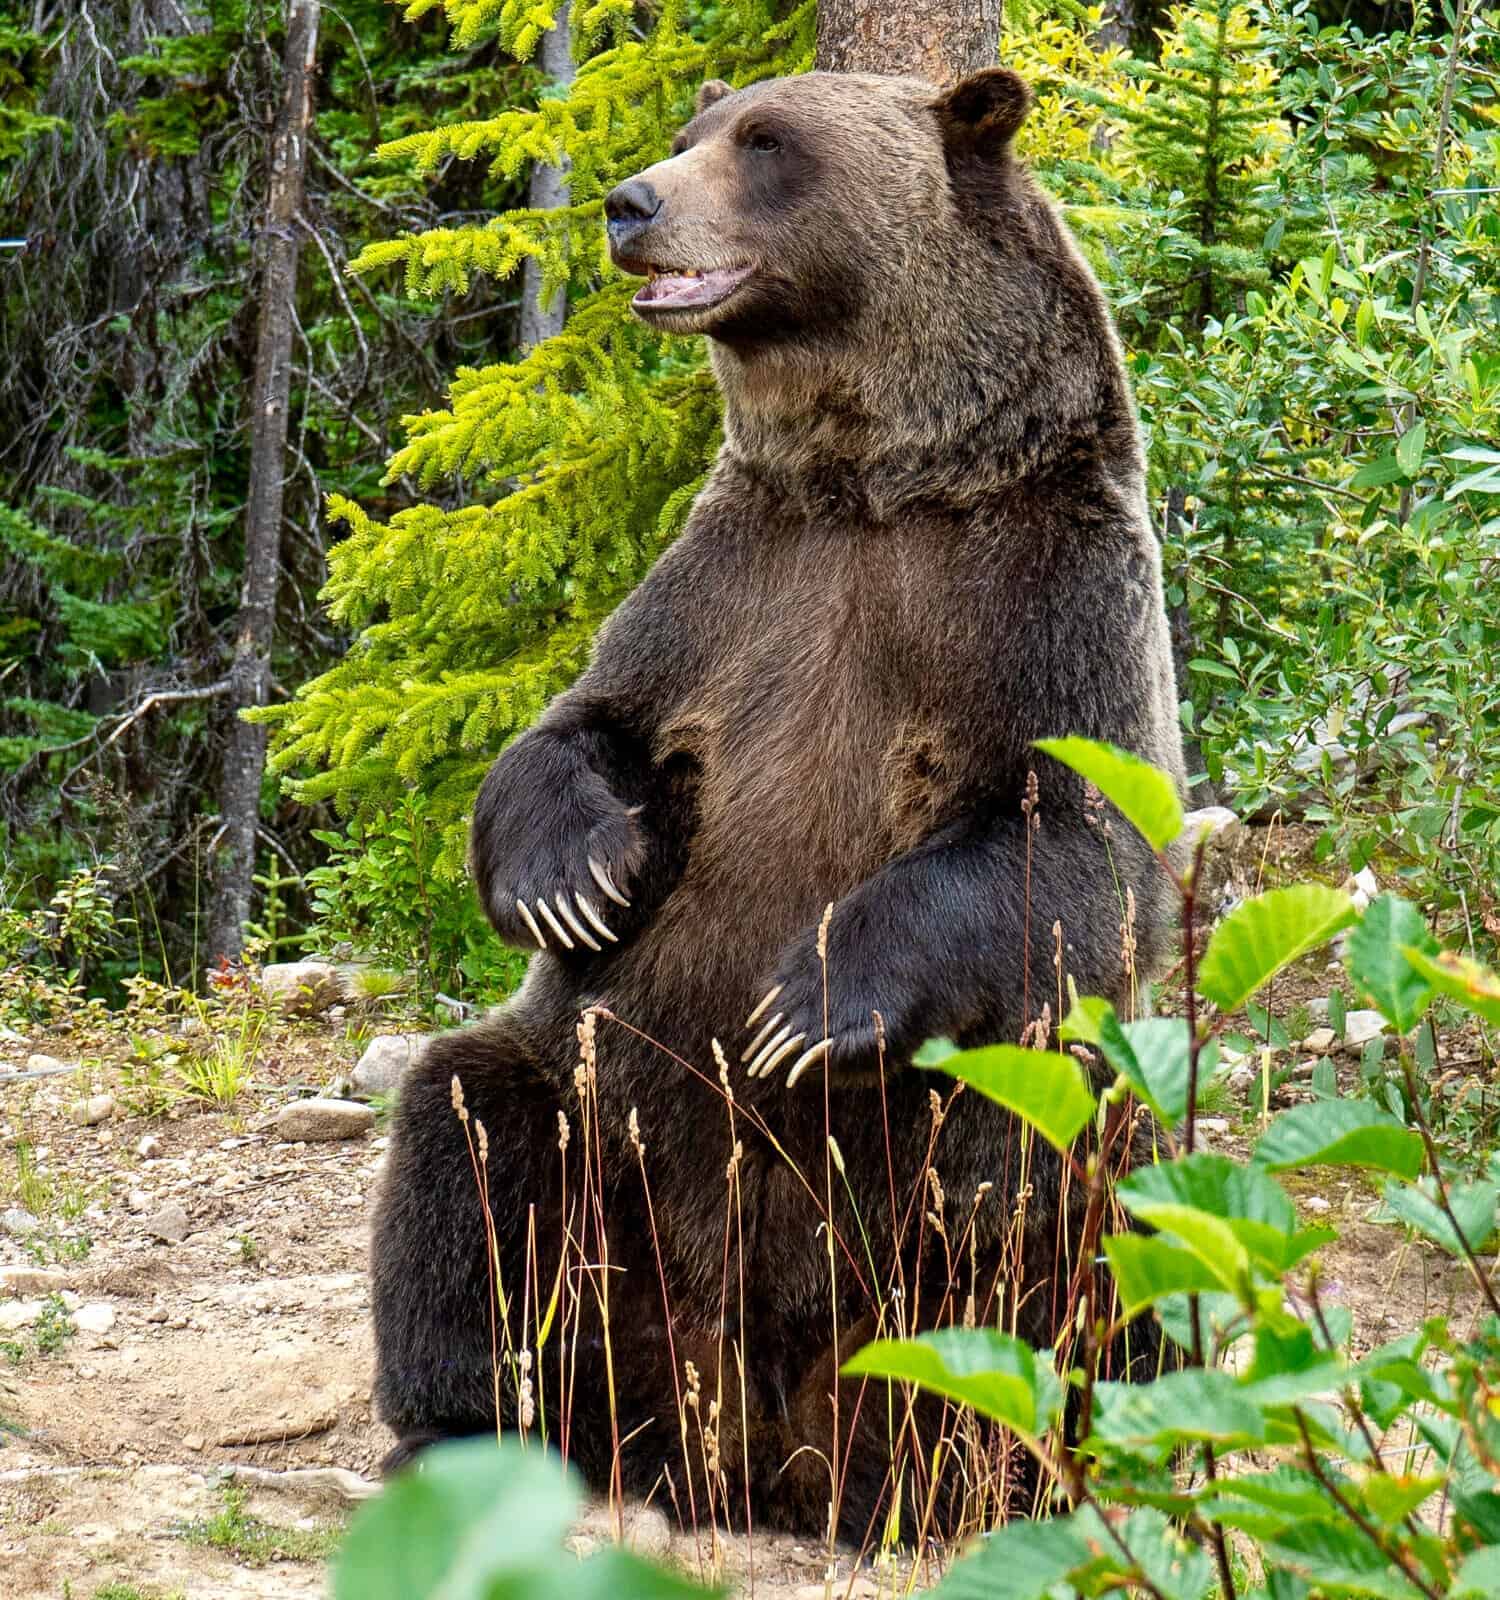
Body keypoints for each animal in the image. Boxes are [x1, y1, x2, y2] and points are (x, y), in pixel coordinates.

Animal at [371, 66, 1187, 1542]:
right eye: (694, 133)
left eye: (768, 144)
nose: (631, 203)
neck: (876, 482)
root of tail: (762, 1459)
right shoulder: (736, 587)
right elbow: (582, 726)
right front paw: (576, 876)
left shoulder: (1040, 596)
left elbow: (1066, 840)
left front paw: (806, 1007)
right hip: (603, 1153)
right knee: (468, 1158)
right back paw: (471, 1435)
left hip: (993, 1178)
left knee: (1100, 1247)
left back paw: (1032, 1474)